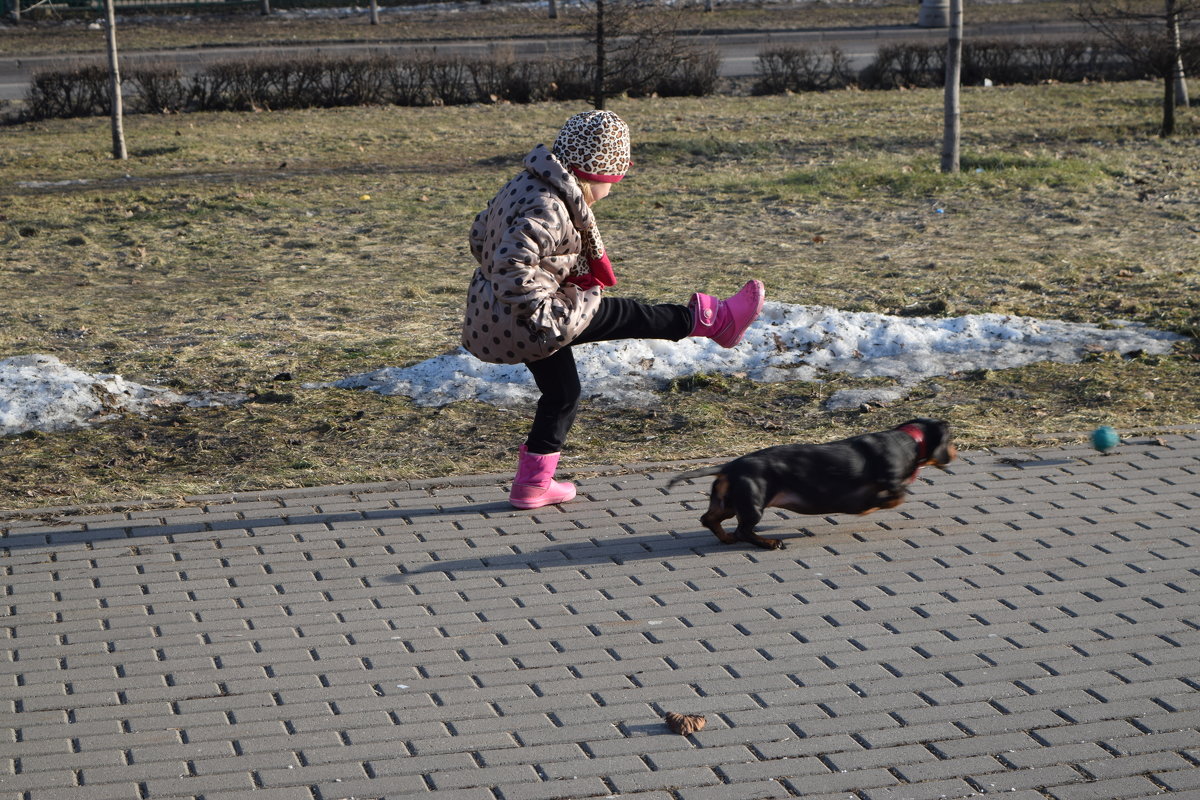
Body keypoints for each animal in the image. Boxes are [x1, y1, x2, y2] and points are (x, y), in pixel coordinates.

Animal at [667, 419, 955, 551]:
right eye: (951, 440)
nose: (954, 454)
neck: (908, 441)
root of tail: (730, 466)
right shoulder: (891, 482)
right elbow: (897, 496)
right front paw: (871, 506)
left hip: (729, 501)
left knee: (710, 519)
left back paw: (726, 538)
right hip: (753, 503)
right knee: (743, 531)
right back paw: (770, 542)